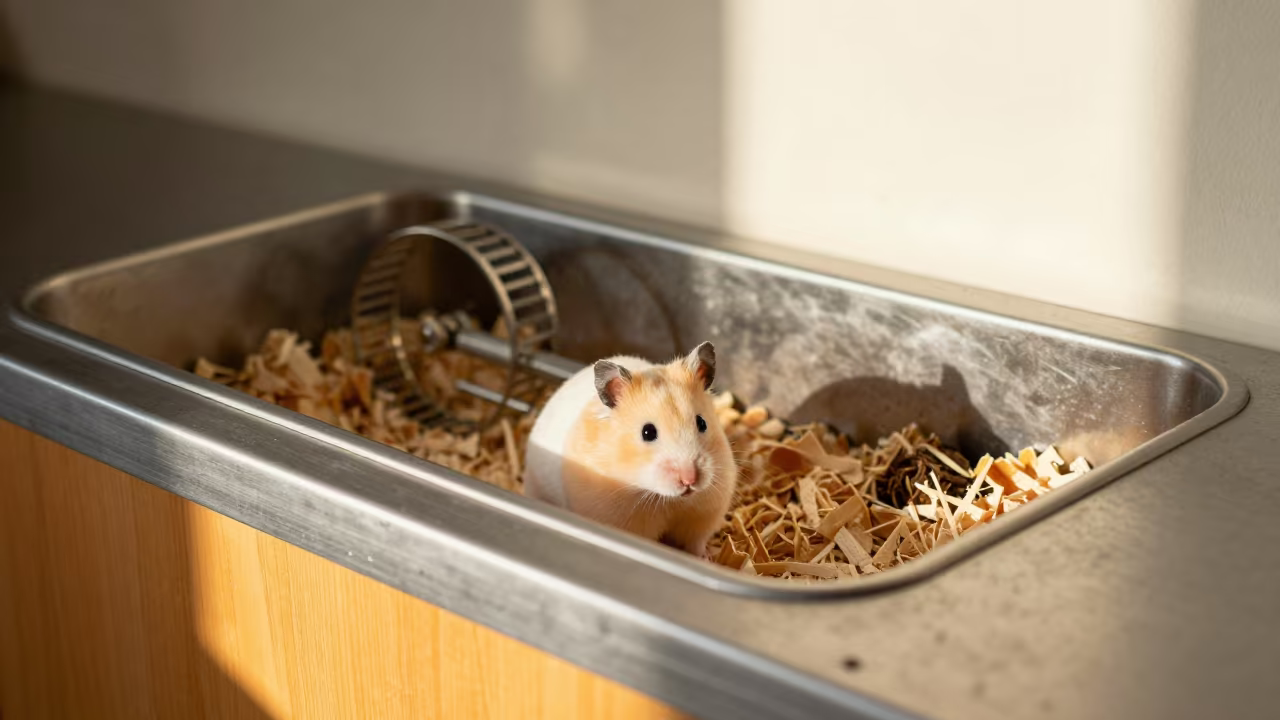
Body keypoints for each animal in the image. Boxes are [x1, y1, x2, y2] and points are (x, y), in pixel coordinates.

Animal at [523, 342, 737, 558]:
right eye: (647, 432)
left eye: (702, 423)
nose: (689, 480)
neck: (667, 500)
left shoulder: (702, 517)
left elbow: (695, 544)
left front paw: (706, 557)